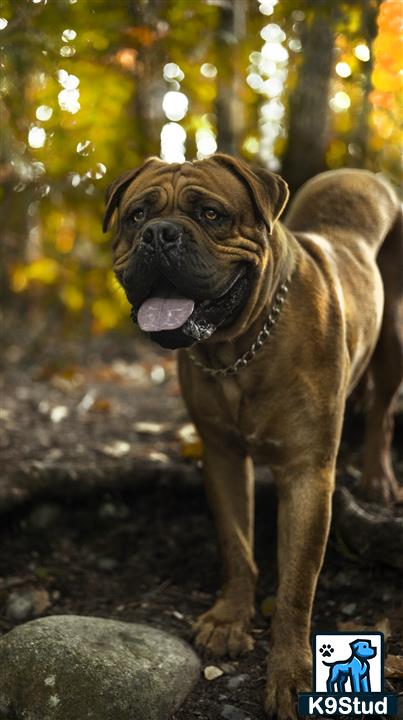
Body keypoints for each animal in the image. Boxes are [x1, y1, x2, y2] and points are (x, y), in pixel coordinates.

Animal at [105, 156, 403, 720]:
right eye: (136, 216)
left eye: (210, 213)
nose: (159, 234)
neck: (240, 346)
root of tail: (366, 175)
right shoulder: (222, 457)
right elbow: (237, 544)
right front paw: (229, 620)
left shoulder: (308, 475)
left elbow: (297, 583)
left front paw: (290, 671)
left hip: (395, 336)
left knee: (381, 412)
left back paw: (377, 476)